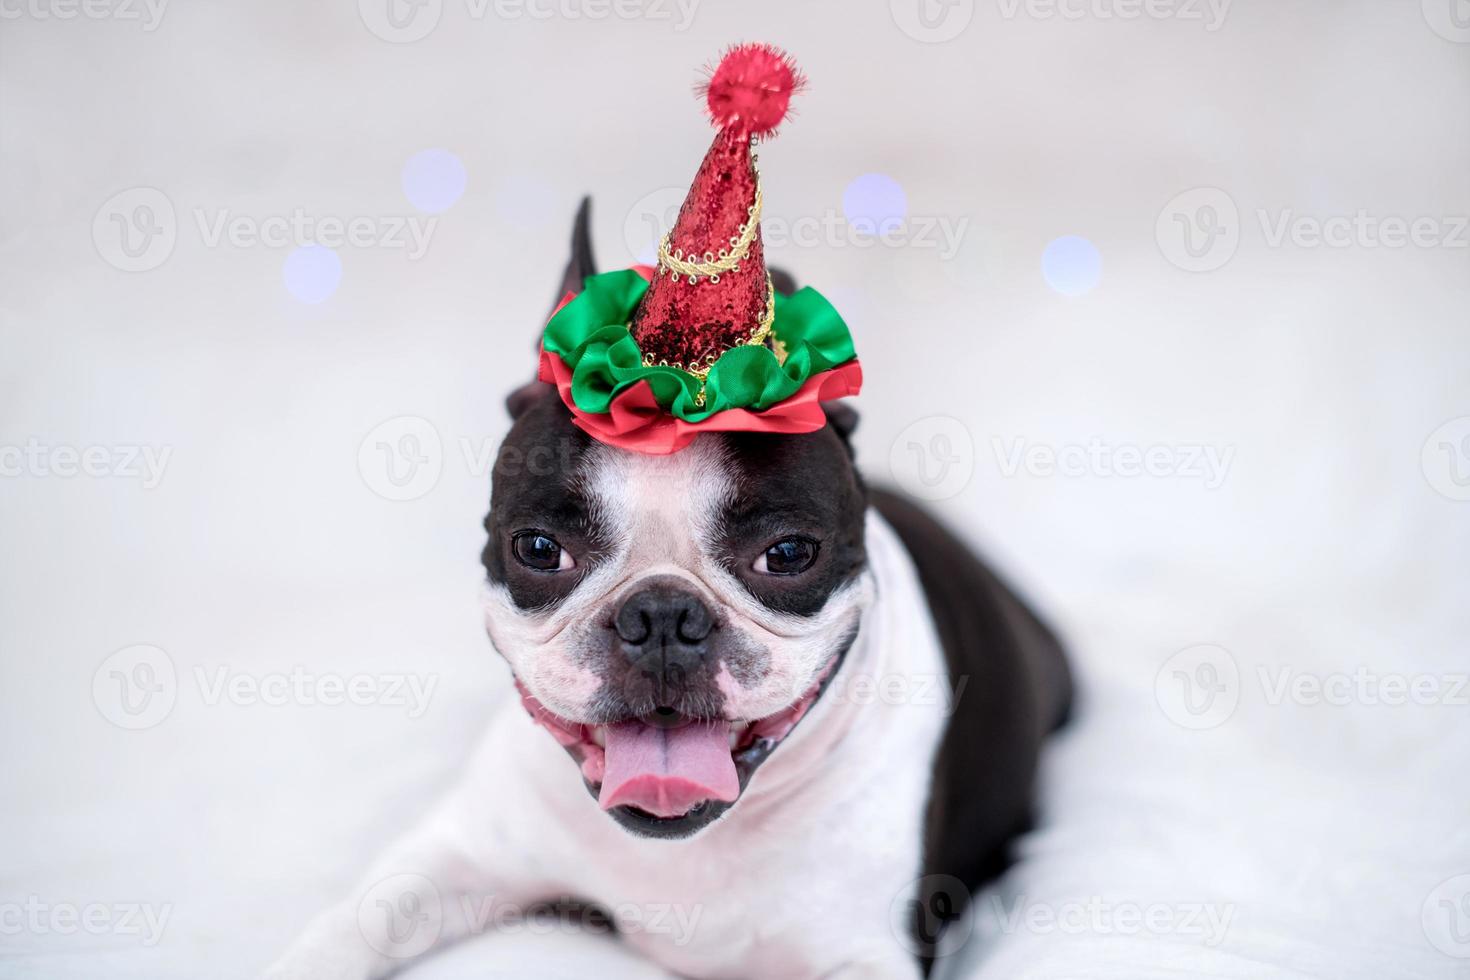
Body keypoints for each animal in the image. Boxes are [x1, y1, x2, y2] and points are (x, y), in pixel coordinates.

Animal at [267, 201, 1070, 980]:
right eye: (538, 549)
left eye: (787, 554)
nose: (660, 615)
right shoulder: (451, 857)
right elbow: (350, 928)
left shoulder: (866, 951)